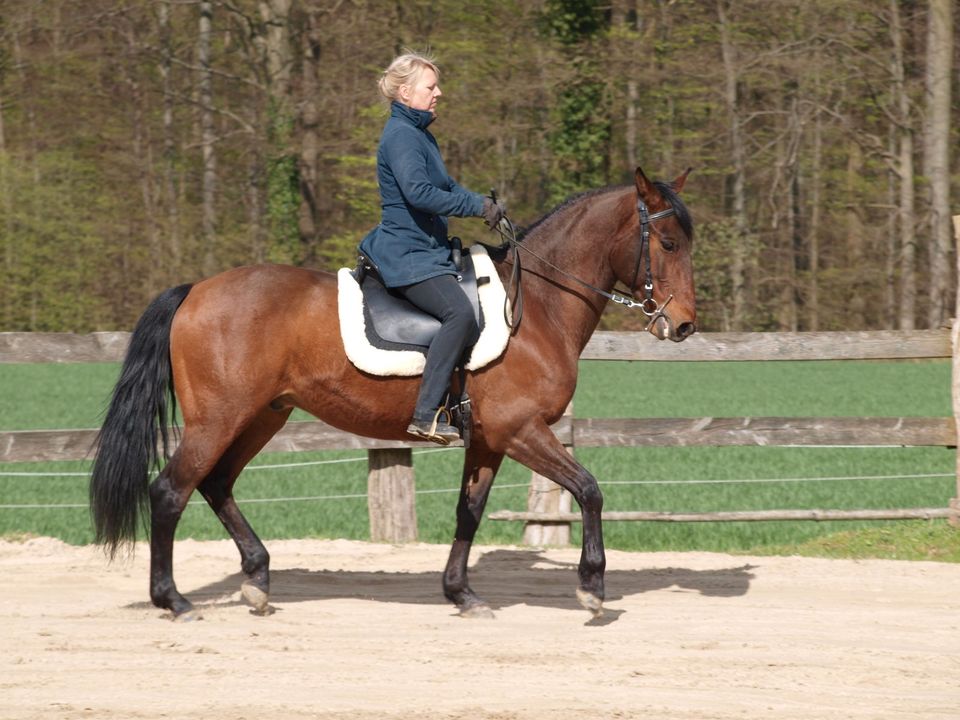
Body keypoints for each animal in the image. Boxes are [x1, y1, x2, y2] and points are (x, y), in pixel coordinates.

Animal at [90, 167, 692, 620]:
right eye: (667, 243)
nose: (684, 325)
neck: (536, 306)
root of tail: (195, 290)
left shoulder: (489, 439)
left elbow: (469, 511)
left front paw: (461, 593)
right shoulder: (520, 429)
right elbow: (589, 490)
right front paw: (592, 587)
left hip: (262, 416)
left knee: (215, 484)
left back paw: (257, 580)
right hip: (219, 419)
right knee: (170, 491)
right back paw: (174, 600)